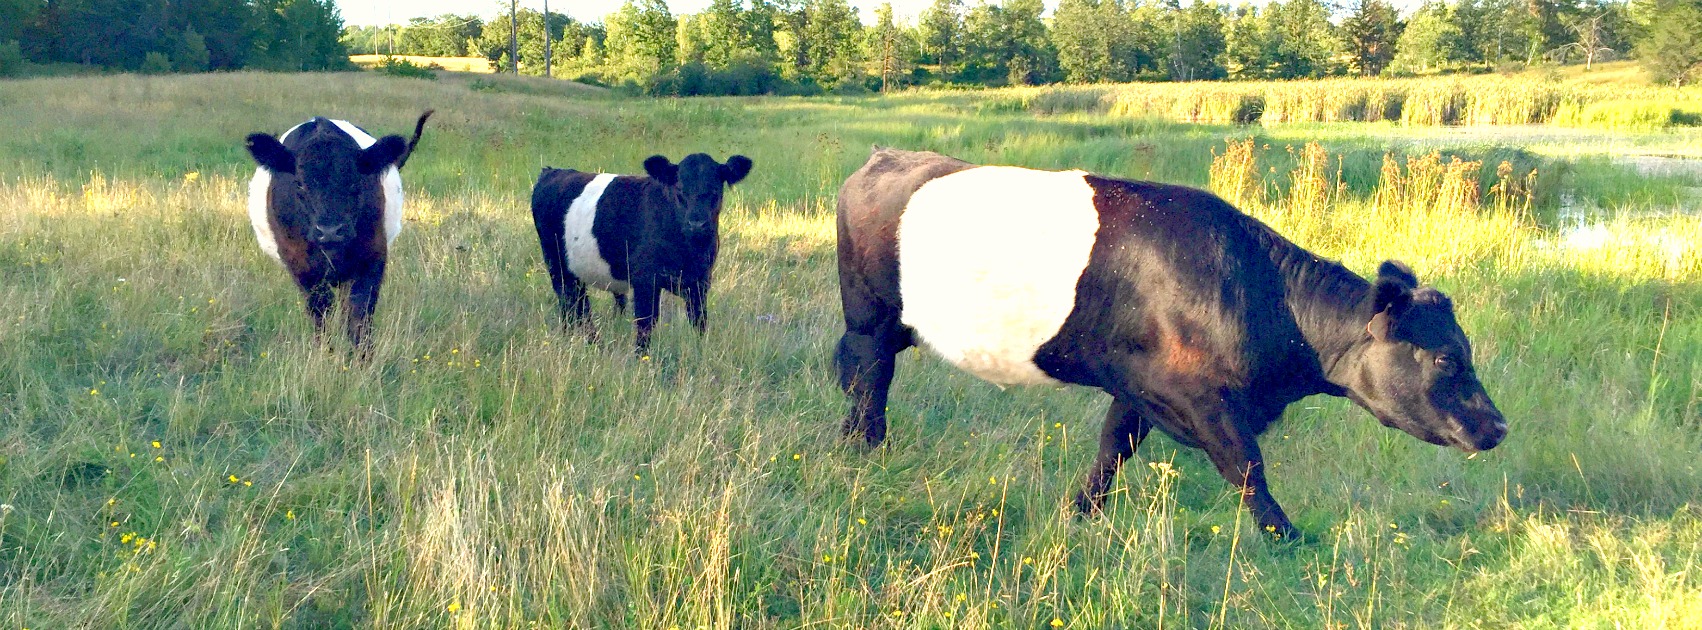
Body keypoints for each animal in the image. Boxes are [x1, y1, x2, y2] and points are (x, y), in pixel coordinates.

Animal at [245, 113, 432, 349]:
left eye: (356, 181)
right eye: (299, 184)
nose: (330, 231)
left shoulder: (371, 258)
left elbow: (359, 315)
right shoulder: (301, 266)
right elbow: (320, 313)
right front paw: (324, 351)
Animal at [524, 151, 752, 349]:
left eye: (715, 190)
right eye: (679, 190)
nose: (696, 224)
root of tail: (552, 171)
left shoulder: (700, 282)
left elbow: (699, 321)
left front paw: (699, 350)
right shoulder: (645, 281)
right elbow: (646, 322)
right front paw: (642, 359)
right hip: (557, 264)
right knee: (574, 303)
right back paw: (592, 343)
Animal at [830, 147, 1511, 541]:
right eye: (1446, 357)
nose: (1498, 427)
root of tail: (885, 157)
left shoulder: (1136, 386)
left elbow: (1112, 450)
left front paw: (1080, 514)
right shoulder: (1199, 398)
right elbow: (1247, 468)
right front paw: (1289, 540)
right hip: (871, 318)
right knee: (869, 378)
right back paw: (865, 452)